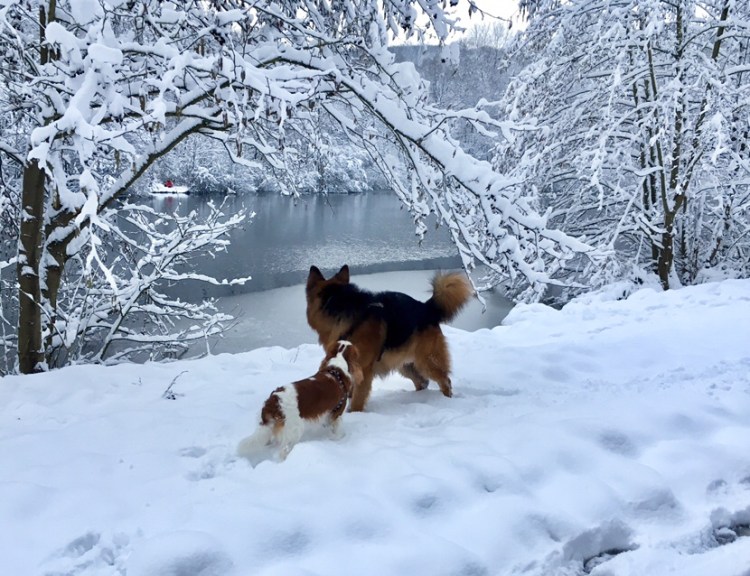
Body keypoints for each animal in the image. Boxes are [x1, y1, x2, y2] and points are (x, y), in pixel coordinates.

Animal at [305, 265, 472, 412]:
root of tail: (426, 308)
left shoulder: (363, 370)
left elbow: (358, 399)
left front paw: (354, 413)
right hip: (406, 364)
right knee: (422, 382)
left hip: (426, 361)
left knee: (445, 380)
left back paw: (446, 400)